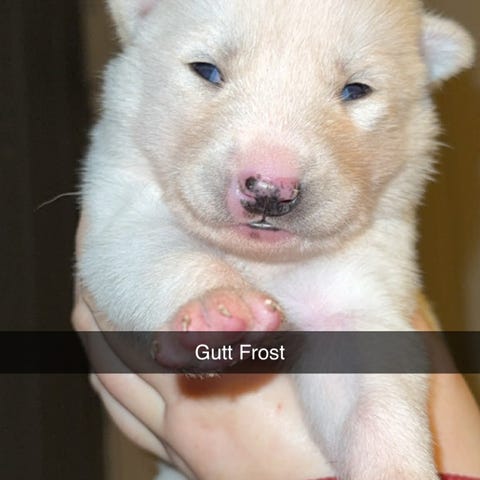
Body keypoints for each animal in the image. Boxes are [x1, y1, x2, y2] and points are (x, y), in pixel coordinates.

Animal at [78, 0, 474, 478]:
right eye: (206, 69)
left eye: (356, 89)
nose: (269, 189)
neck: (265, 262)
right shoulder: (116, 205)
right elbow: (148, 249)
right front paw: (217, 311)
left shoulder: (363, 280)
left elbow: (372, 387)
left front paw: (395, 466)